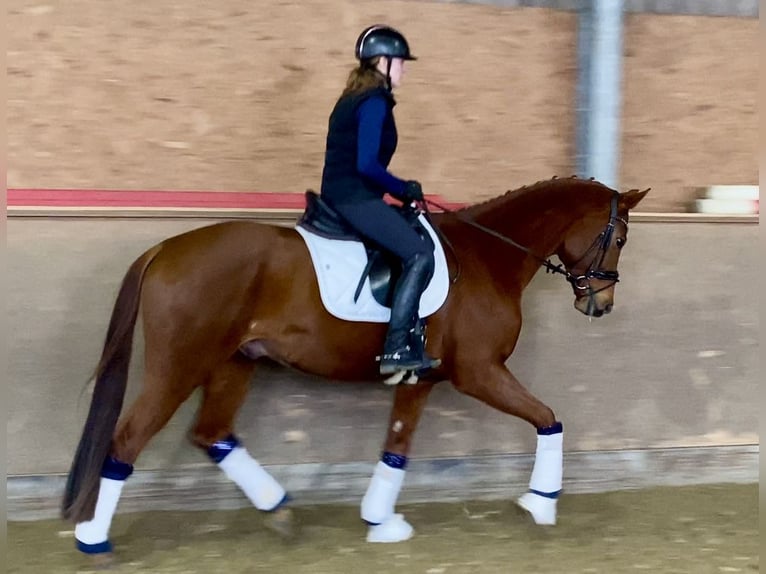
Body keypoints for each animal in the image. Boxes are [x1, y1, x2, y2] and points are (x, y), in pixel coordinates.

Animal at [61, 178, 648, 556]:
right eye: (618, 238)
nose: (599, 305)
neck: (488, 257)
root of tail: (164, 248)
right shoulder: (478, 372)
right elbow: (549, 418)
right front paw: (542, 503)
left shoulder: (420, 378)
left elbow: (396, 449)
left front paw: (380, 521)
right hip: (180, 366)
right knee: (129, 438)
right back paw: (94, 540)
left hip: (233, 364)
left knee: (211, 433)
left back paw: (278, 508)